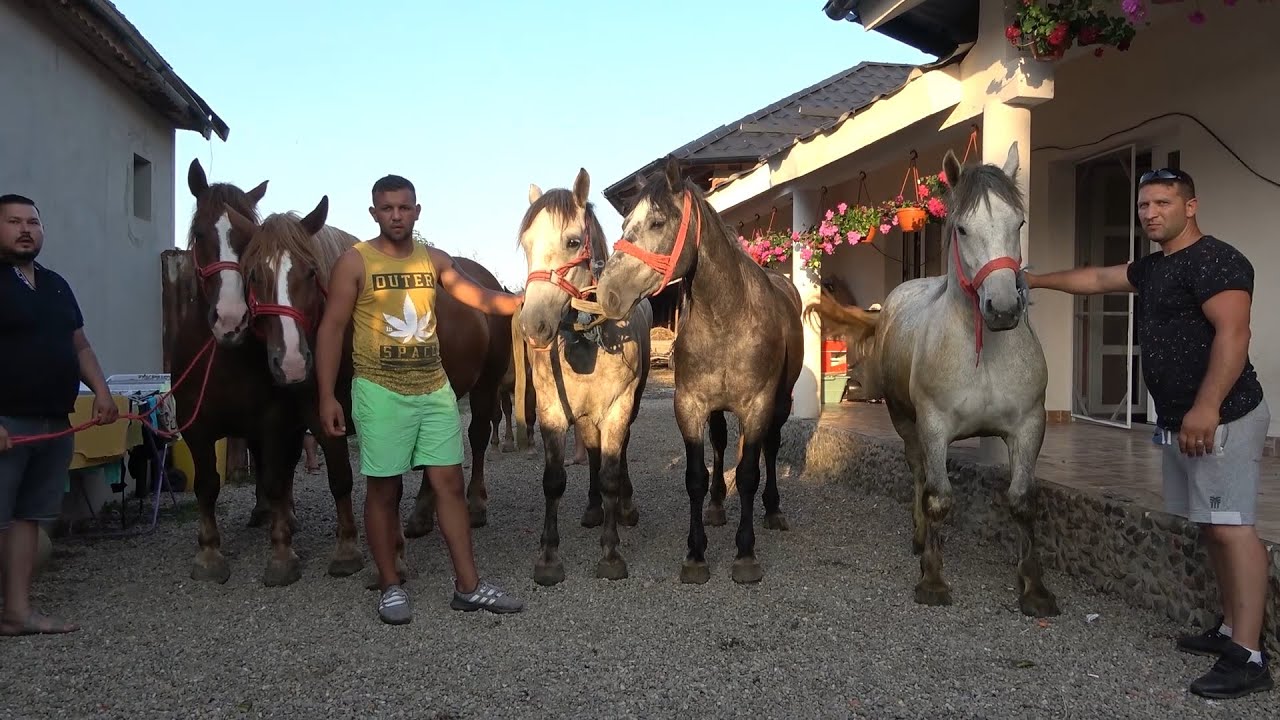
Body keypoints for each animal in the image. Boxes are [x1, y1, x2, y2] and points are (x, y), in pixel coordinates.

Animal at [177, 159, 328, 586]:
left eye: (247, 242)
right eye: (199, 233)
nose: (231, 320)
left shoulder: (274, 420)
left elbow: (277, 479)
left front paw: (282, 554)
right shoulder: (193, 424)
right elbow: (206, 485)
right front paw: (208, 553)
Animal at [514, 168, 651, 585]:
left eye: (573, 241)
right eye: (527, 244)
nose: (533, 326)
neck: (586, 339)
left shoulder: (618, 407)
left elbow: (610, 471)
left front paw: (611, 551)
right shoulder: (553, 411)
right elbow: (554, 480)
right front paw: (548, 557)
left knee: (615, 456)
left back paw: (624, 507)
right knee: (591, 451)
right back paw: (594, 509)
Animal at [596, 156, 801, 585]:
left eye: (657, 222)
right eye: (625, 226)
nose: (608, 294)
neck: (727, 318)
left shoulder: (758, 406)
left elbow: (749, 474)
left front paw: (745, 554)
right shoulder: (689, 406)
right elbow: (695, 477)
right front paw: (695, 553)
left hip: (782, 402)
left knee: (770, 449)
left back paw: (773, 510)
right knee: (722, 445)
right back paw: (718, 507)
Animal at [803, 142, 1058, 617]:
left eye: (1019, 223)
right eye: (962, 228)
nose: (1002, 308)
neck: (983, 353)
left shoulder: (1029, 426)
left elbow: (1022, 502)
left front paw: (1034, 587)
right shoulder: (934, 426)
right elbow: (938, 498)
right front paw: (933, 579)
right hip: (905, 422)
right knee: (920, 475)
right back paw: (921, 540)